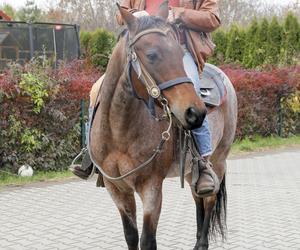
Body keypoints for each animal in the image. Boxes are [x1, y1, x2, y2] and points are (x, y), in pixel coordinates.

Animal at [88, 2, 237, 249]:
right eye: (151, 55)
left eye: (179, 53)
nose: (196, 112)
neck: (120, 131)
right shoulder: (116, 189)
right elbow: (131, 236)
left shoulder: (151, 188)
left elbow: (147, 240)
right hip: (191, 169)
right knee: (198, 197)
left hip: (218, 160)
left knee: (209, 199)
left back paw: (202, 243)